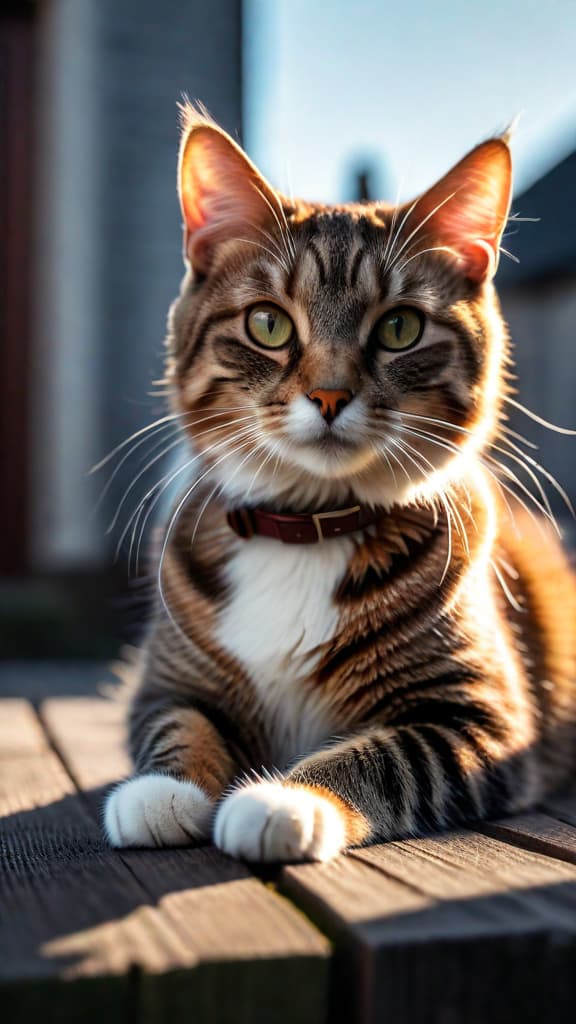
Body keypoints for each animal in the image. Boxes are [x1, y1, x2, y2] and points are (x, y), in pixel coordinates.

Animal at [103, 103, 573, 860]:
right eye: (267, 323)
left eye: (400, 328)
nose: (329, 395)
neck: (306, 527)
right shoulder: (168, 681)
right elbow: (178, 721)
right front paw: (161, 792)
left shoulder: (482, 718)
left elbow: (387, 756)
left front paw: (285, 799)